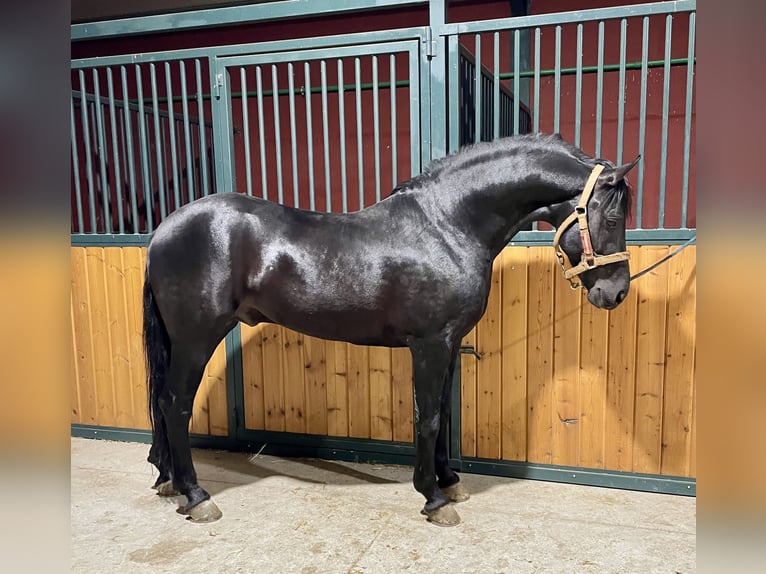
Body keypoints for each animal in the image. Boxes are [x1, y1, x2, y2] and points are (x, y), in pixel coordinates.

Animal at [141, 134, 640, 528]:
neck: (447, 227)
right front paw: (433, 498)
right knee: (174, 404)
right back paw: (196, 496)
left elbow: (444, 413)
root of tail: (164, 229)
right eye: (614, 218)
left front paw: (449, 482)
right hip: (196, 339)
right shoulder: (430, 344)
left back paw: (169, 481)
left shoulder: (450, 344)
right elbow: (428, 417)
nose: (616, 293)